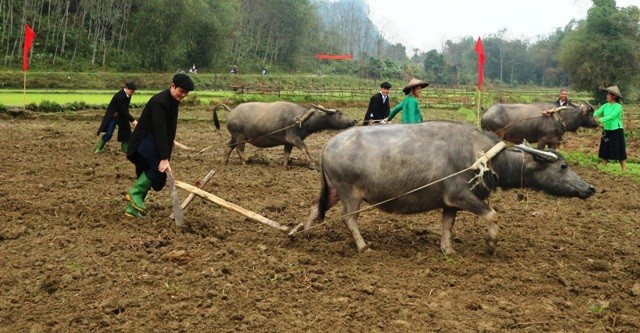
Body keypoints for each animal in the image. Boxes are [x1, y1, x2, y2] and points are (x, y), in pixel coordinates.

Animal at [212, 100, 358, 169]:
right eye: (339, 113)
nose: (354, 120)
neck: (302, 119)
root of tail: (232, 110)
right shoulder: (294, 138)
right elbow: (305, 149)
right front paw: (312, 165)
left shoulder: (288, 142)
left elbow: (287, 154)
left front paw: (285, 165)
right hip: (240, 136)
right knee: (239, 149)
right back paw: (245, 161)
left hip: (234, 136)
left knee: (229, 148)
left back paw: (224, 162)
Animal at [294, 120, 596, 253]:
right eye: (563, 167)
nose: (589, 188)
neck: (483, 158)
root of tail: (328, 147)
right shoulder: (462, 196)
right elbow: (492, 215)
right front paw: (491, 244)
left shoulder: (450, 204)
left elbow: (447, 226)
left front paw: (447, 249)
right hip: (349, 193)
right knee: (349, 218)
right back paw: (363, 246)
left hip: (333, 190)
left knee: (314, 208)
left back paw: (304, 235)